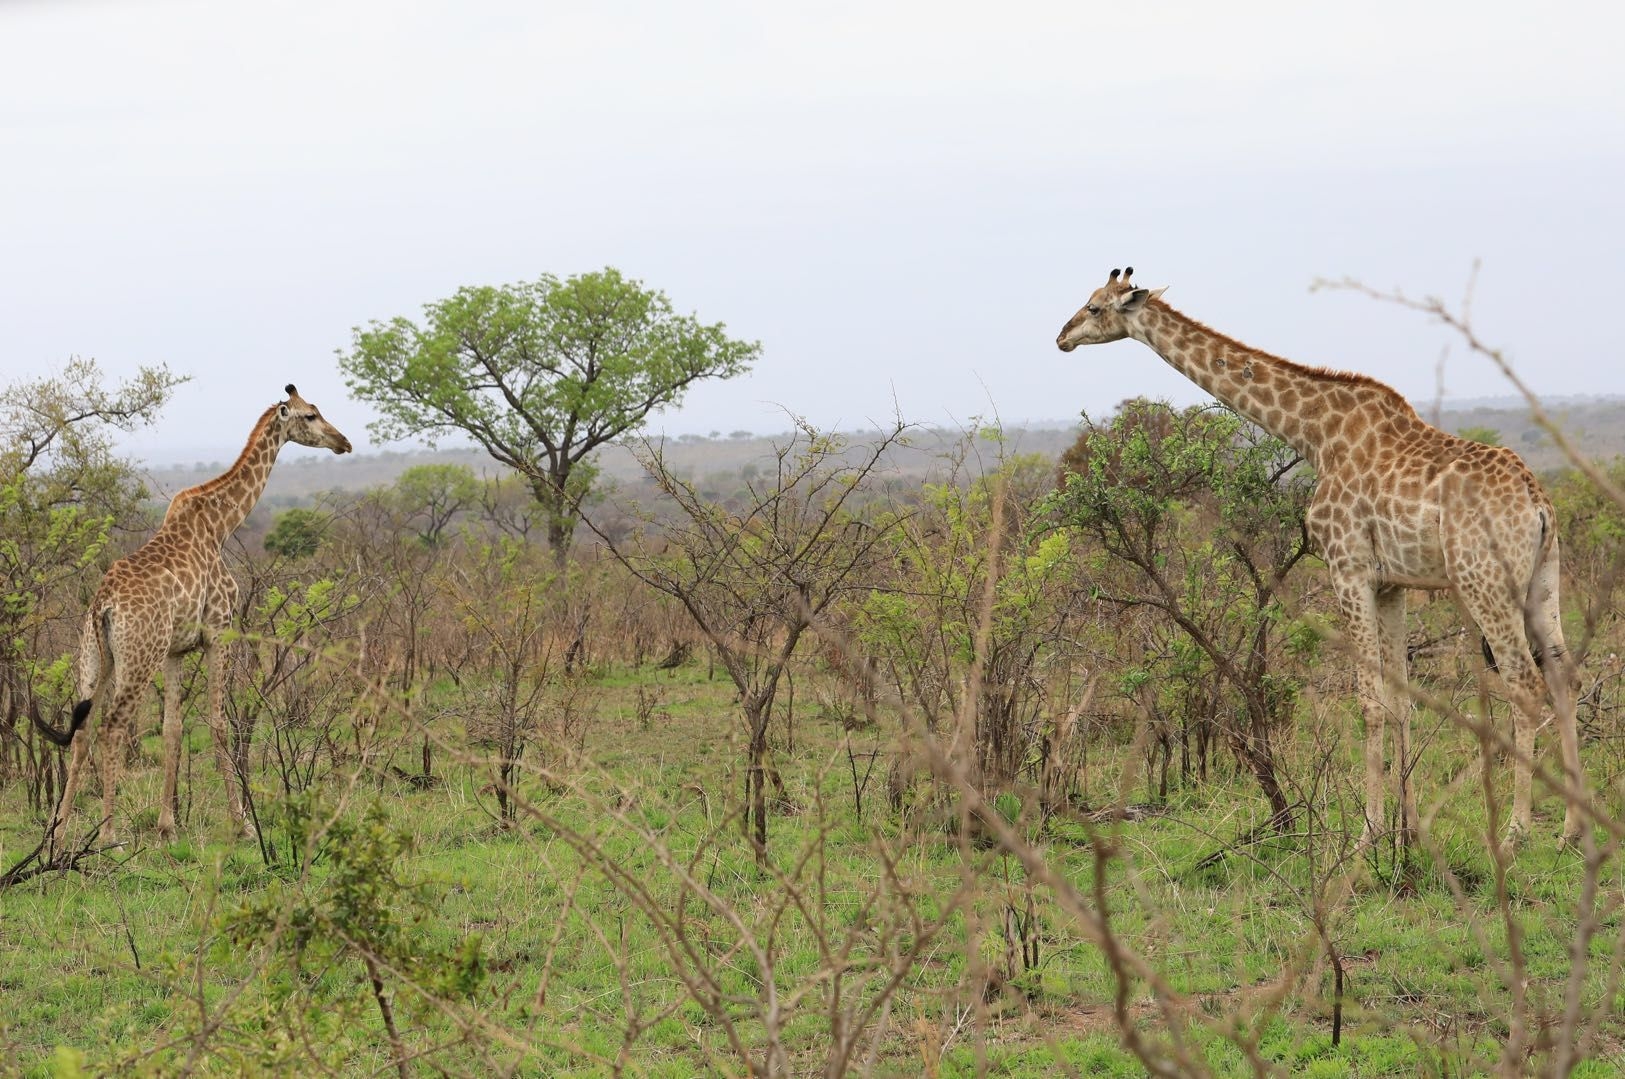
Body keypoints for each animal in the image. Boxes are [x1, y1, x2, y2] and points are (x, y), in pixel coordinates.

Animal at [38, 383, 352, 845]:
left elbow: (173, 728)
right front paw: (243, 824)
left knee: (82, 728)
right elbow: (220, 723)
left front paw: (167, 825)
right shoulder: (220, 632)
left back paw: (58, 834)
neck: (221, 524)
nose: (342, 442)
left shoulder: (175, 651)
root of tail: (103, 605)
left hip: (96, 657)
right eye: (310, 415)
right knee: (113, 727)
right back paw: (110, 834)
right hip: (139, 657)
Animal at [1059, 264, 1579, 845]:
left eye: (1095, 307)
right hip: (1543, 578)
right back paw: (1571, 829)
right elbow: (1400, 701)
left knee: (1525, 685)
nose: (1062, 337)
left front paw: (1369, 832)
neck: (1314, 434)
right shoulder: (1392, 583)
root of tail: (1537, 501)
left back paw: (1516, 831)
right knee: (1564, 677)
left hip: (1482, 582)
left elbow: (1369, 702)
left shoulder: (1346, 567)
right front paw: (1409, 832)